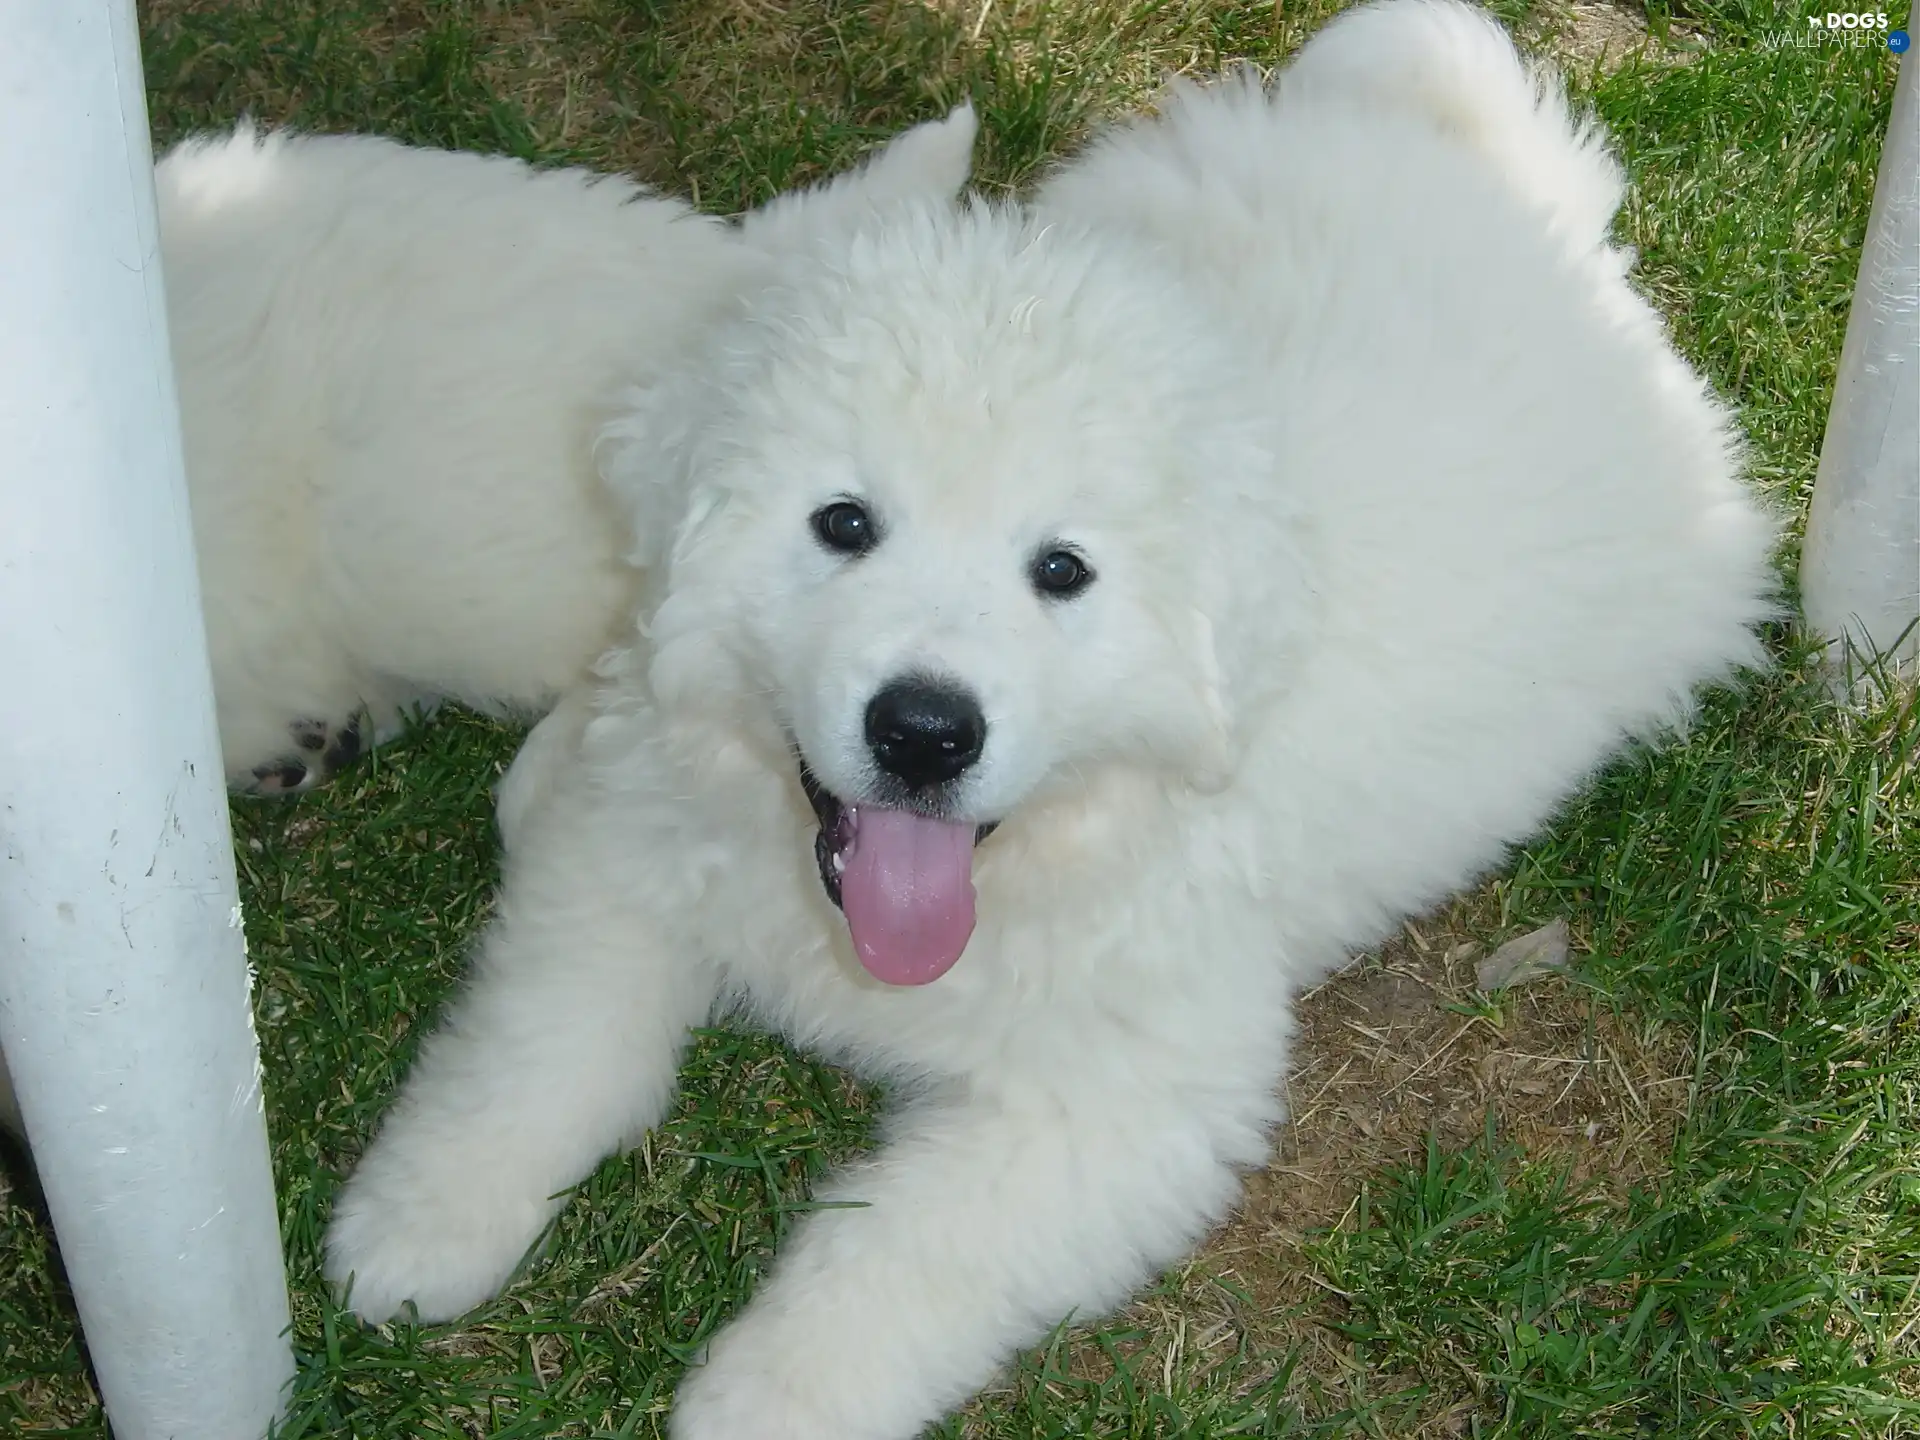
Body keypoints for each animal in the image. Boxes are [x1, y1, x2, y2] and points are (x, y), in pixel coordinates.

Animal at [322, 5, 1774, 1436]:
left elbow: (899, 1251)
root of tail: (1527, 207)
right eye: (843, 524)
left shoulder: (1123, 1104)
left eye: (1062, 571)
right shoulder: (629, 864)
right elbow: (537, 1045)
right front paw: (422, 1215)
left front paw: (766, 1399)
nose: (924, 731)